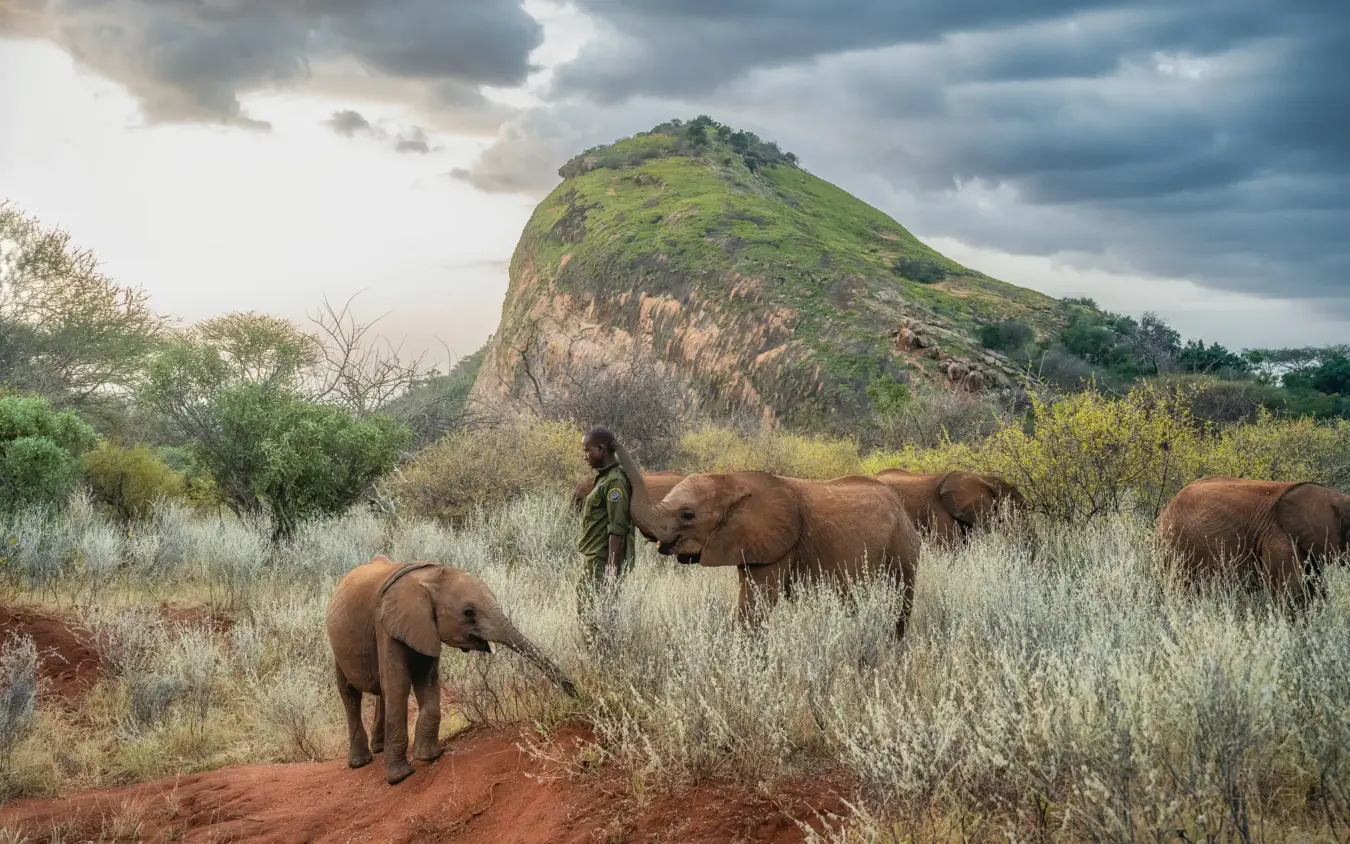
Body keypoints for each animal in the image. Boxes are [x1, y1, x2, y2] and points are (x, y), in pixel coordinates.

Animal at [325, 555, 578, 785]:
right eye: (468, 612)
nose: (577, 694)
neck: (429, 577)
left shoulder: (423, 628)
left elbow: (426, 680)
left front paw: (429, 756)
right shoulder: (385, 625)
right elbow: (398, 685)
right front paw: (400, 777)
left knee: (381, 692)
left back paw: (378, 749)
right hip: (336, 645)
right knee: (350, 693)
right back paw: (361, 762)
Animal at [615, 447, 921, 639]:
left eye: (687, 515)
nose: (606, 438)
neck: (733, 480)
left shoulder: (778, 544)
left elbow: (757, 603)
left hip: (902, 548)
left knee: (899, 603)